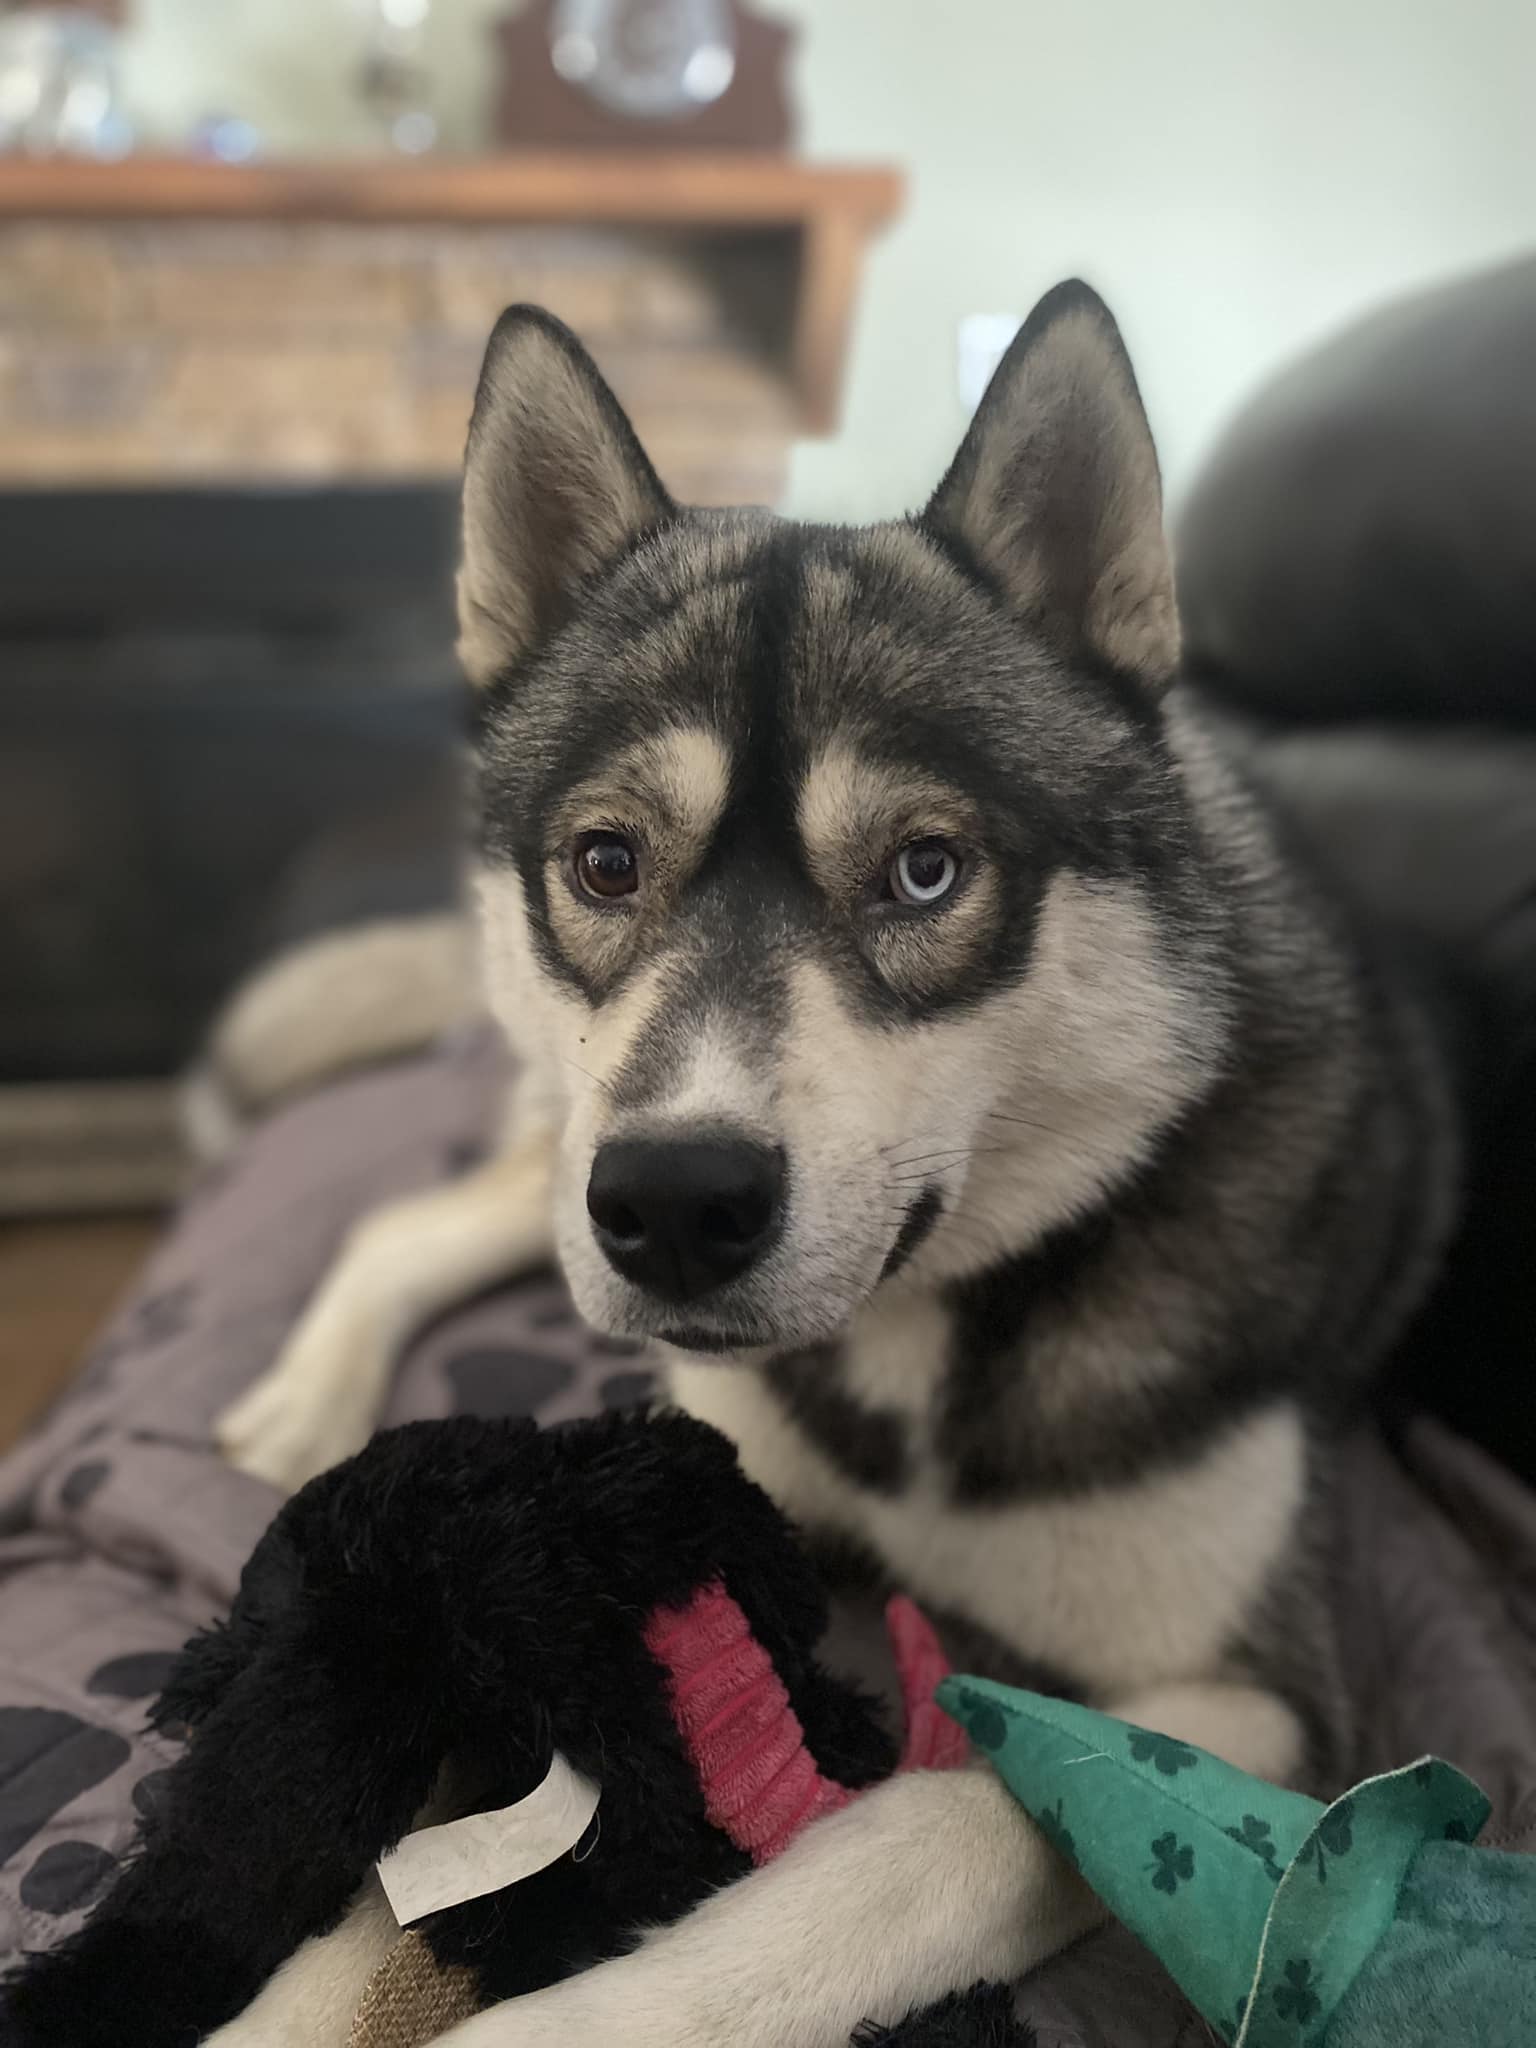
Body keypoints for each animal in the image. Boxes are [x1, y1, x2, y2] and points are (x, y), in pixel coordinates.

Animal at [209, 281, 1459, 2046]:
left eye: (926, 871)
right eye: (607, 862)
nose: (677, 1206)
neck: (919, 1358)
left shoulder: (1266, 1711)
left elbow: (937, 1832)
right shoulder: (691, 1487)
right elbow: (404, 1891)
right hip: (567, 1164)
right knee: (417, 1221)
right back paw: (306, 1396)